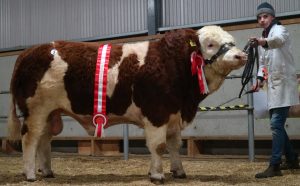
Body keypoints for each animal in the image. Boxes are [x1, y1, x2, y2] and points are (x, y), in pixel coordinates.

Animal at [8, 25, 247, 183]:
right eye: (210, 44)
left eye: (232, 41)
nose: (241, 55)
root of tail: (28, 52)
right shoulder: (157, 114)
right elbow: (158, 146)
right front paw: (157, 175)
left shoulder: (173, 115)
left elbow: (173, 145)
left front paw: (178, 171)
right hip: (36, 110)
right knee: (30, 139)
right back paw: (30, 174)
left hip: (51, 112)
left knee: (44, 140)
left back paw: (47, 171)